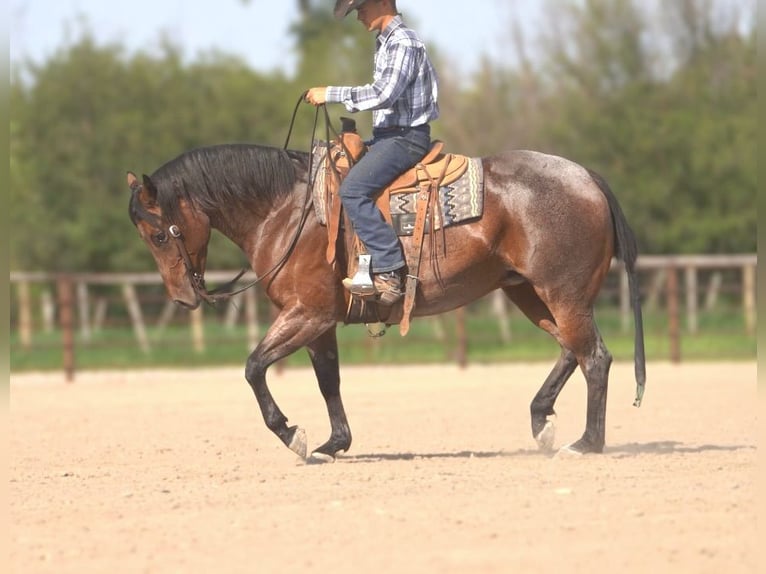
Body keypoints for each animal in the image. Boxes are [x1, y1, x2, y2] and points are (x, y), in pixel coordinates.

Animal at [127, 140, 645, 462]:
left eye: (159, 234)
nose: (182, 298)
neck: (287, 211)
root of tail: (586, 177)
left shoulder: (307, 313)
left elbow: (254, 367)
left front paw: (294, 435)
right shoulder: (319, 322)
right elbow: (328, 381)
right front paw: (334, 443)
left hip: (562, 293)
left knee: (594, 358)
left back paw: (587, 443)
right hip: (530, 293)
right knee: (572, 351)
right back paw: (543, 422)